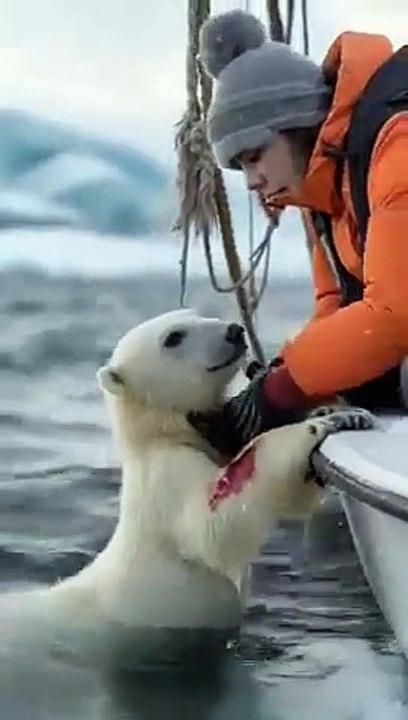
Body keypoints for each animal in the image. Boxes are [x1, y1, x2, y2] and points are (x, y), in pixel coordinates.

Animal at [2, 309, 374, 672]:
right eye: (174, 337)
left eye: (196, 314)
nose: (234, 331)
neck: (158, 434)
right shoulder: (167, 477)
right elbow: (213, 525)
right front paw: (321, 424)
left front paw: (331, 410)